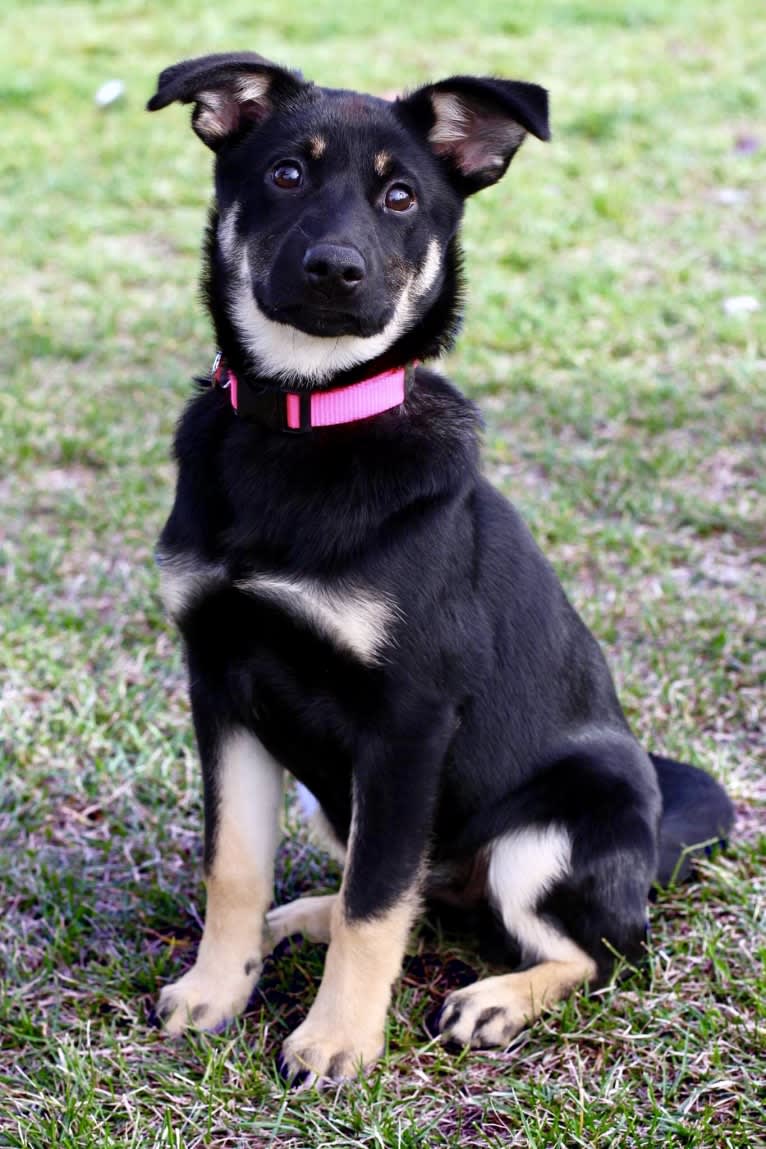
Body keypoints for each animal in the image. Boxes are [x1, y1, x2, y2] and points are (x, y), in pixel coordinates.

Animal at [145, 54, 734, 1084]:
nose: (335, 270)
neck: (307, 420)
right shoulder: (219, 682)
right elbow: (239, 865)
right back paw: (302, 918)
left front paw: (337, 1040)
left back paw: (497, 1000)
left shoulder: (408, 718)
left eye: (401, 196)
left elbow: (377, 901)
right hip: (340, 797)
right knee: (421, 893)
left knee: (606, 948)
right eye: (285, 175)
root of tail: (651, 843)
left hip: (551, 830)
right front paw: (218, 988)